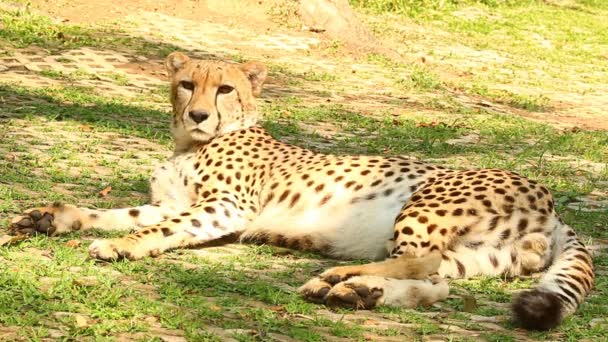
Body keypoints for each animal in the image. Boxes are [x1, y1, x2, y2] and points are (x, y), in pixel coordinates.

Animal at [10, 52, 592, 330]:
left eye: (225, 88)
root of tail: (552, 203)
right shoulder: (169, 202)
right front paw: (48, 218)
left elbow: (158, 229)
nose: (197, 114)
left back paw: (337, 279)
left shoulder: (225, 208)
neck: (189, 142)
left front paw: (120, 246)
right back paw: (358, 291)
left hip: (426, 198)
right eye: (186, 84)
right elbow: (117, 212)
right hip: (481, 255)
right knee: (438, 283)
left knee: (421, 263)